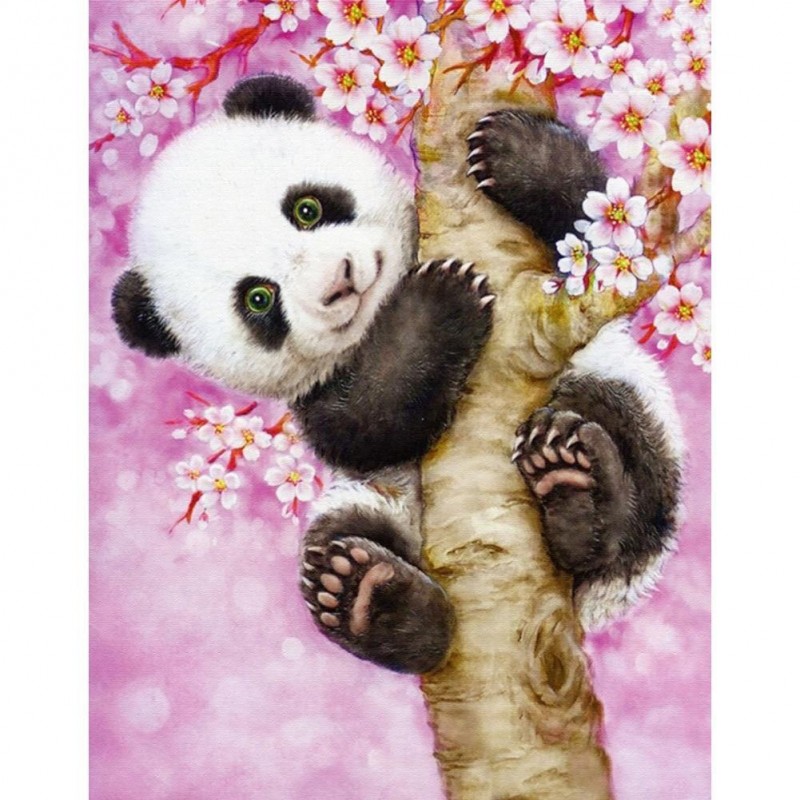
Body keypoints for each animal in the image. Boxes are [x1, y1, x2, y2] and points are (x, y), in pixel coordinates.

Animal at [112, 74, 683, 675]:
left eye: (307, 208)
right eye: (259, 299)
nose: (340, 281)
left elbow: (603, 234)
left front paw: (514, 150)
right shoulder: (318, 396)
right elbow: (366, 425)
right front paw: (436, 303)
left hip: (630, 406)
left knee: (622, 439)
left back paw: (578, 492)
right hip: (374, 507)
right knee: (338, 543)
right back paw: (376, 601)